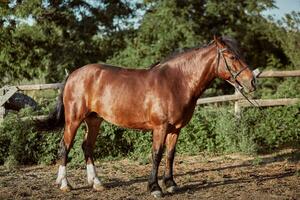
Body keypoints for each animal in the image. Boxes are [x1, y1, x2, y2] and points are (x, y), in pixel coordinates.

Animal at [38, 35, 256, 197]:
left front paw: (171, 183)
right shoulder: (160, 127)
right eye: (231, 56)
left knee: (87, 147)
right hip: (74, 120)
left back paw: (97, 183)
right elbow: (157, 154)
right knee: (64, 147)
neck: (176, 82)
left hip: (94, 120)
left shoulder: (175, 129)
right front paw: (155, 188)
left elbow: (170, 155)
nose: (252, 81)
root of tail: (73, 74)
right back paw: (65, 184)